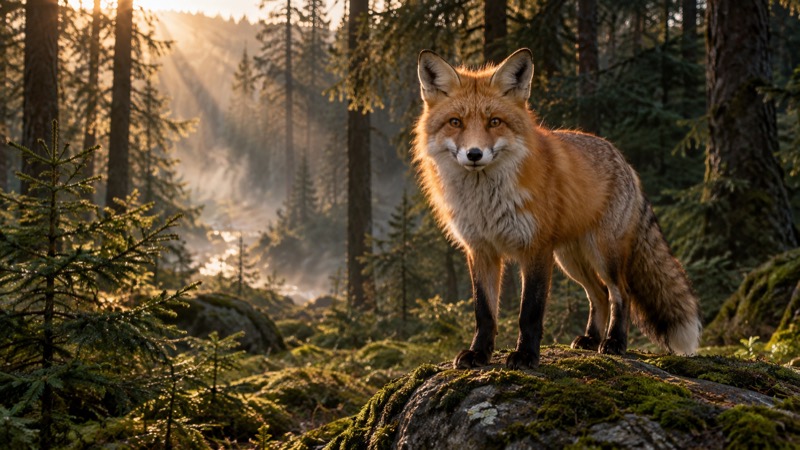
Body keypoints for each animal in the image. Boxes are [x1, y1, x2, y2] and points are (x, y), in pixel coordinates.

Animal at [413, 48, 702, 369]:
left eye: (495, 122)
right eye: (455, 122)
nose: (474, 154)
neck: (485, 202)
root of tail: (623, 159)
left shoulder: (536, 248)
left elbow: (530, 313)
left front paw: (526, 355)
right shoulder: (481, 250)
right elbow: (484, 312)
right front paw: (479, 353)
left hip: (603, 254)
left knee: (620, 293)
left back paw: (614, 342)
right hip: (571, 259)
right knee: (599, 294)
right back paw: (591, 339)